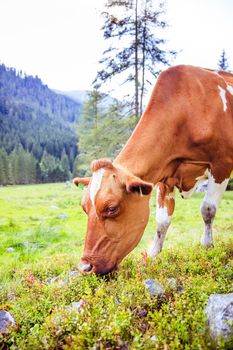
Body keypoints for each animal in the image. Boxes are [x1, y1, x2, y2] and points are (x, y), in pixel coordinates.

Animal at [73, 64, 233, 274]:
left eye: (111, 208)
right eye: (84, 207)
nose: (85, 267)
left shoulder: (221, 164)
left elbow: (207, 210)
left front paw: (207, 246)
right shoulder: (166, 176)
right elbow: (162, 221)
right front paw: (152, 255)